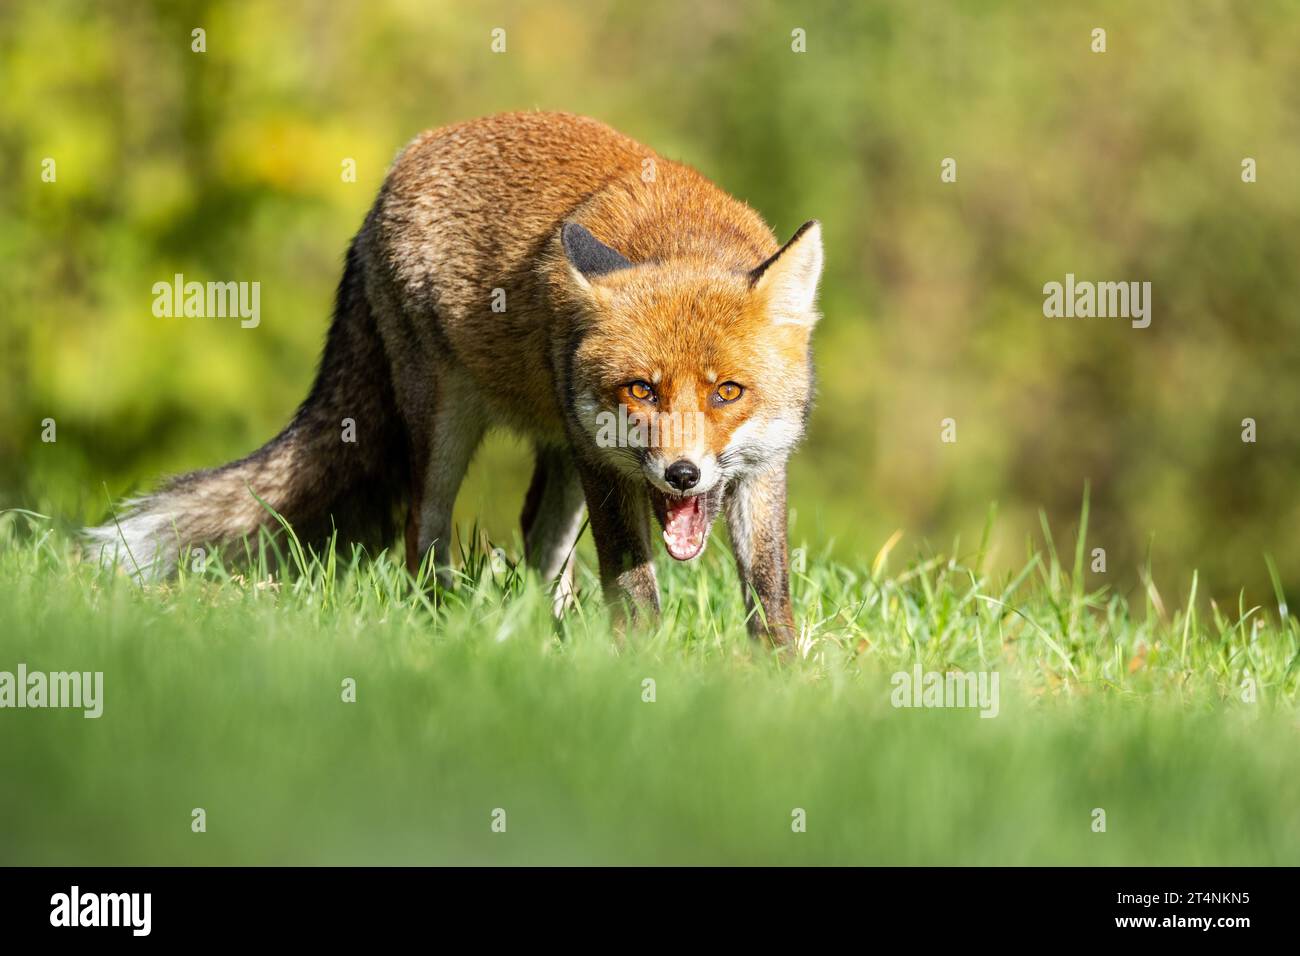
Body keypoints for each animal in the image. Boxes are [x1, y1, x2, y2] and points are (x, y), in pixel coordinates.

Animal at [89, 111, 824, 644]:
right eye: (641, 390)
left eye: (727, 392)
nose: (681, 476)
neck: (682, 237)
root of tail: (403, 161)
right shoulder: (607, 471)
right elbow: (633, 587)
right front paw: (645, 667)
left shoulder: (763, 470)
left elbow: (769, 593)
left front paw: (779, 679)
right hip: (450, 426)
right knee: (423, 536)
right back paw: (438, 625)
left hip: (564, 447)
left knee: (537, 535)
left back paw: (548, 632)